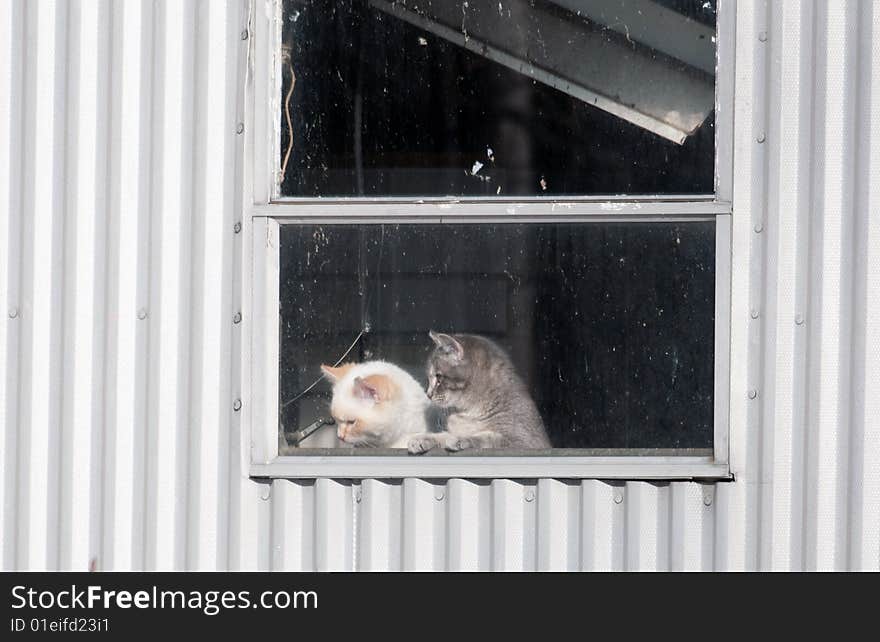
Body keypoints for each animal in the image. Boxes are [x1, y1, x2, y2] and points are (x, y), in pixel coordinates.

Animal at [408, 330, 552, 450]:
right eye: (429, 378)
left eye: (439, 378)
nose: (428, 394)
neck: (469, 413)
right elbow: (444, 435)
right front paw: (423, 438)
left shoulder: (526, 441)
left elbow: (488, 437)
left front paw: (461, 438)